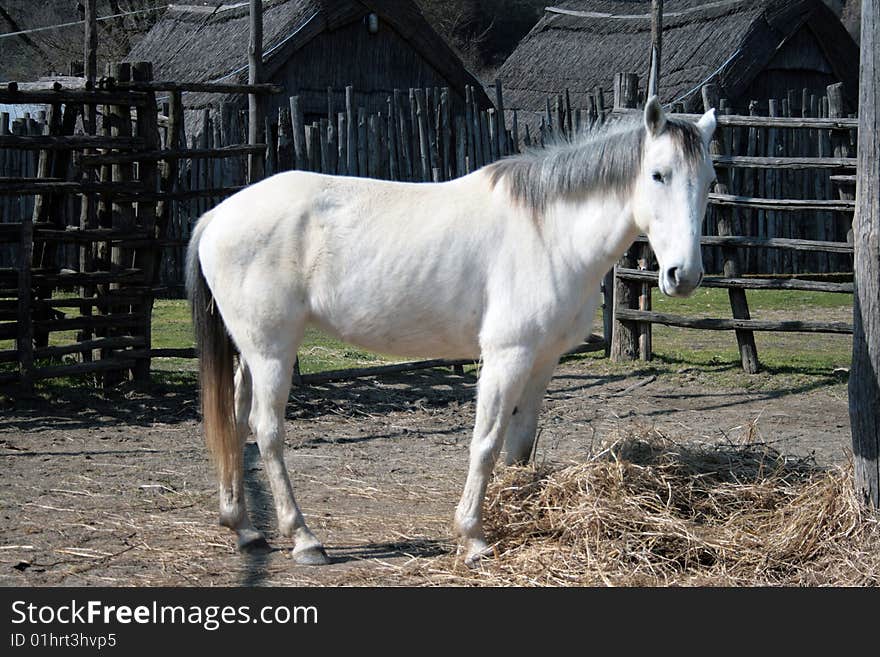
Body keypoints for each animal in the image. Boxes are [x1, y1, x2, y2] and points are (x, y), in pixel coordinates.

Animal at [186, 97, 716, 564]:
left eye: (709, 179)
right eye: (658, 174)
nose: (683, 275)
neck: (548, 231)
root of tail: (216, 215)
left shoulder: (543, 360)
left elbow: (520, 446)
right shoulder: (507, 356)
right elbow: (486, 442)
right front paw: (473, 537)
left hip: (251, 351)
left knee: (236, 422)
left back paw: (244, 528)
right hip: (273, 351)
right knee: (267, 432)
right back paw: (303, 539)